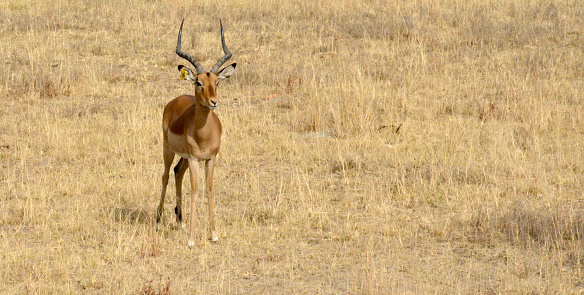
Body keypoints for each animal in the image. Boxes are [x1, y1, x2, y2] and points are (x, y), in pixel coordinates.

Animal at [157, 19, 237, 247]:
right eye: (198, 82)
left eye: (216, 82)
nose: (213, 102)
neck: (203, 135)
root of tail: (176, 100)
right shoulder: (194, 159)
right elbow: (195, 190)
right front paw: (192, 240)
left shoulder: (210, 158)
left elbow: (209, 190)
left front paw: (214, 235)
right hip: (168, 150)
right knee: (166, 175)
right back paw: (157, 221)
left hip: (184, 158)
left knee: (177, 172)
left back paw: (180, 221)